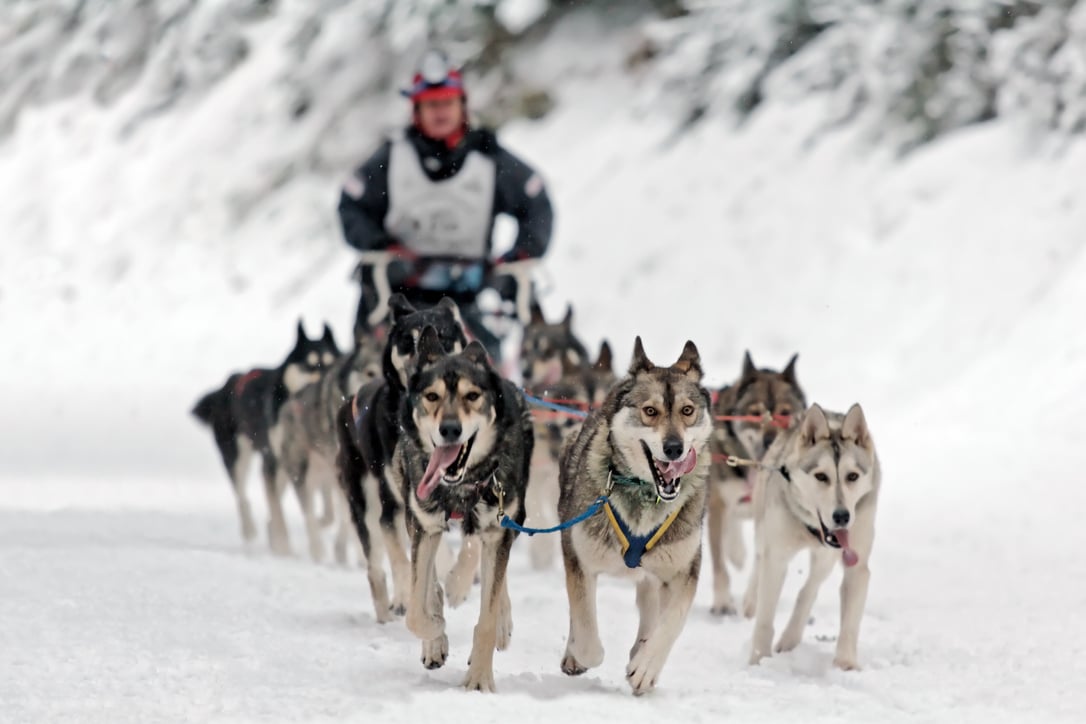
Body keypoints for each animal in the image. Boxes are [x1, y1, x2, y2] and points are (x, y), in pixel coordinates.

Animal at [390, 327, 534, 690]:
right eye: (432, 396)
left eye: (472, 396)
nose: (450, 429)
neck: (461, 486)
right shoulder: (424, 526)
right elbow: (417, 608)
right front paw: (435, 633)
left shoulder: (499, 527)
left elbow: (486, 616)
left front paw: (480, 679)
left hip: (508, 519)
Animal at [560, 340, 712, 694]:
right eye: (650, 411)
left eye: (687, 411)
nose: (674, 448)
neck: (647, 493)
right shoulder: (579, 558)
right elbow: (586, 631)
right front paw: (580, 654)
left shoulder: (683, 571)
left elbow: (671, 623)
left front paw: (645, 667)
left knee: (651, 610)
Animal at [703, 353, 807, 616]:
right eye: (755, 413)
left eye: (784, 412)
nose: (770, 439)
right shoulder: (717, 506)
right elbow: (719, 562)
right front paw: (722, 601)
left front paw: (753, 599)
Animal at [751, 401, 877, 668]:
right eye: (821, 476)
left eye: (852, 476)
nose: (842, 516)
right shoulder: (776, 558)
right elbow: (765, 619)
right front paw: (758, 659)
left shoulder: (857, 565)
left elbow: (850, 622)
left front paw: (845, 664)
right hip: (762, 526)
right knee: (758, 560)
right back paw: (749, 602)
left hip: (826, 559)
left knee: (809, 588)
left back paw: (791, 636)